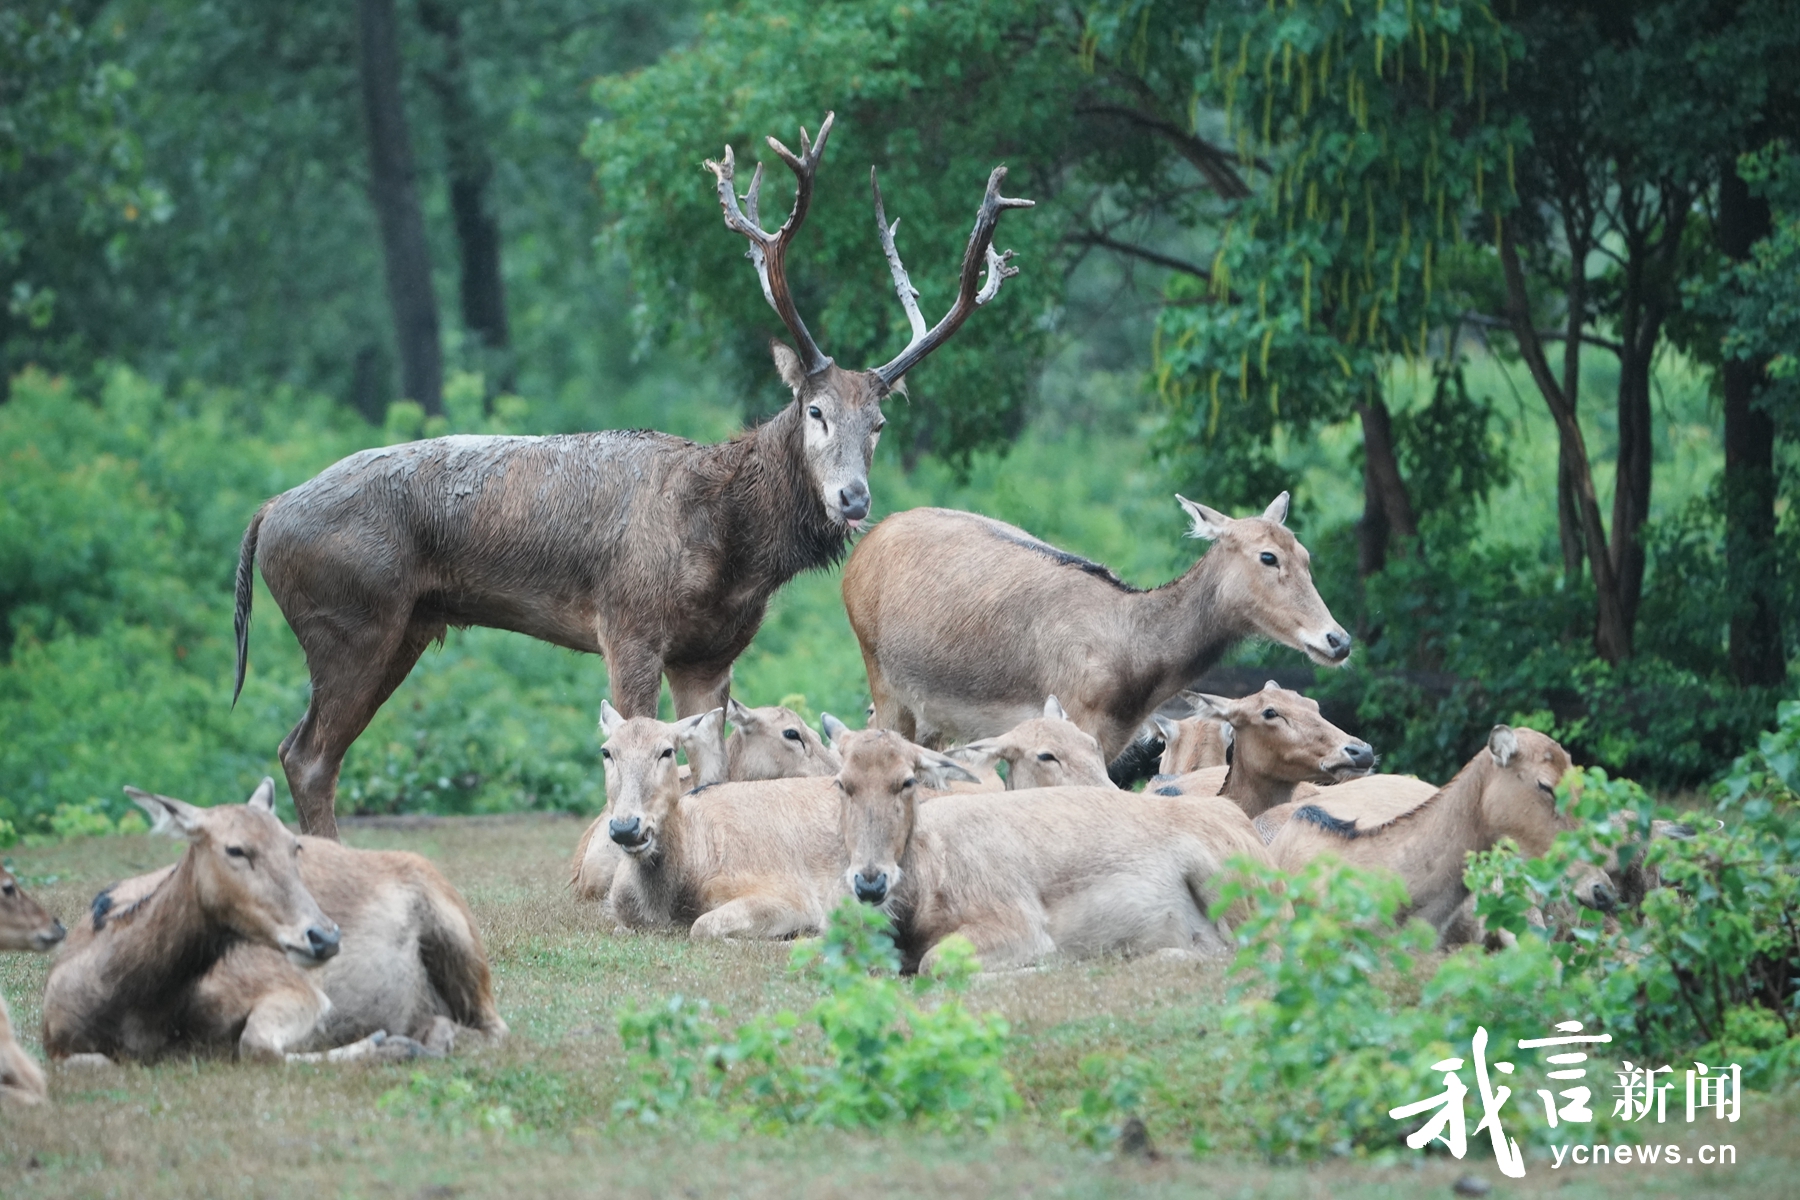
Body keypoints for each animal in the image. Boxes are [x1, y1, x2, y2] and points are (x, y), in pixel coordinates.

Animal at [42, 780, 504, 1063]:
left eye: (294, 845)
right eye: (235, 849)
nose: (324, 936)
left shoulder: (295, 990)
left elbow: (256, 1045)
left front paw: (383, 1045)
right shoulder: (55, 1045)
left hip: (457, 936)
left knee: (495, 1028)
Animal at [231, 113, 1033, 837]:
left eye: (879, 424)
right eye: (815, 410)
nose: (853, 497)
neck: (729, 551)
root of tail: (266, 513)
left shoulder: (711, 653)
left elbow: (708, 770)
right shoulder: (628, 624)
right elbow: (632, 748)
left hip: (403, 628)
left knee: (304, 749)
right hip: (348, 621)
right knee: (308, 755)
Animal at [841, 491, 1351, 767]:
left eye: (1306, 555)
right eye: (1268, 556)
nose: (1338, 640)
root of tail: (859, 551)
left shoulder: (1112, 742)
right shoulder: (1073, 715)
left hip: (934, 718)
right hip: (883, 683)